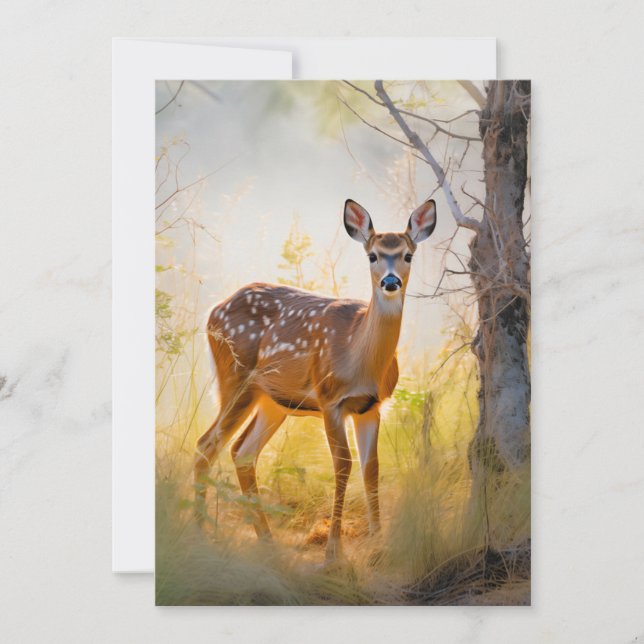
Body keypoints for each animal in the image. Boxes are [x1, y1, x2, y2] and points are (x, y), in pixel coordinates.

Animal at [194, 198, 437, 563]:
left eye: (408, 255)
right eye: (372, 255)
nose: (391, 282)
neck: (359, 357)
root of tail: (213, 311)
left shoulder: (372, 406)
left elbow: (372, 468)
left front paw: (379, 547)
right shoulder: (329, 399)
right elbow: (343, 465)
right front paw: (333, 553)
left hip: (273, 400)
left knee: (242, 451)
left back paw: (267, 542)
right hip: (235, 379)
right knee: (206, 445)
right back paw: (200, 532)